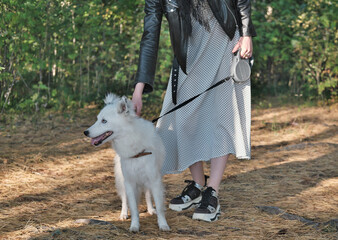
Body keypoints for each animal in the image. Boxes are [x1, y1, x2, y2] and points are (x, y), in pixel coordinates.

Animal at [83, 94, 170, 232]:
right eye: (97, 119)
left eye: (104, 121)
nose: (85, 132)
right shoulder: (129, 182)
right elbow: (133, 208)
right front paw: (134, 225)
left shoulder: (154, 180)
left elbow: (160, 206)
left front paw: (163, 224)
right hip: (122, 180)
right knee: (124, 200)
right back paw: (123, 214)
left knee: (147, 194)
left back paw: (151, 209)